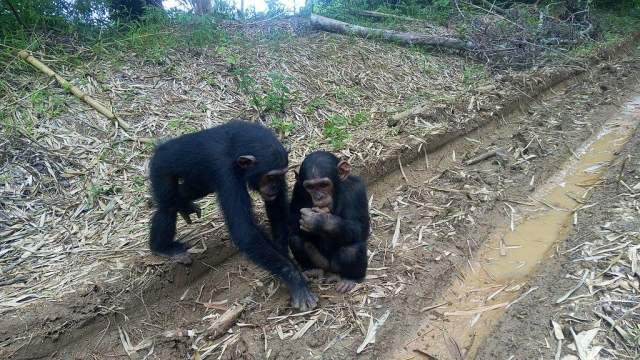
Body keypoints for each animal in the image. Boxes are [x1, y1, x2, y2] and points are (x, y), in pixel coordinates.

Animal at [151, 119, 320, 310]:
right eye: (270, 177)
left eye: (280, 176)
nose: (275, 187)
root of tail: (160, 147)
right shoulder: (226, 175)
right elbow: (244, 230)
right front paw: (295, 279)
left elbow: (276, 207)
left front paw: (284, 251)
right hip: (160, 168)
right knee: (167, 206)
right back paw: (163, 247)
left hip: (198, 181)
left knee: (183, 193)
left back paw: (184, 206)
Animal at [288, 150, 368, 292]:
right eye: (310, 187)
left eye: (324, 185)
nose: (319, 197)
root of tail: (329, 268)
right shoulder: (297, 189)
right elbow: (292, 217)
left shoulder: (357, 189)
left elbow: (361, 226)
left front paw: (320, 220)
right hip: (321, 262)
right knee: (296, 239)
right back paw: (313, 270)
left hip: (337, 266)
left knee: (352, 248)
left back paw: (349, 279)